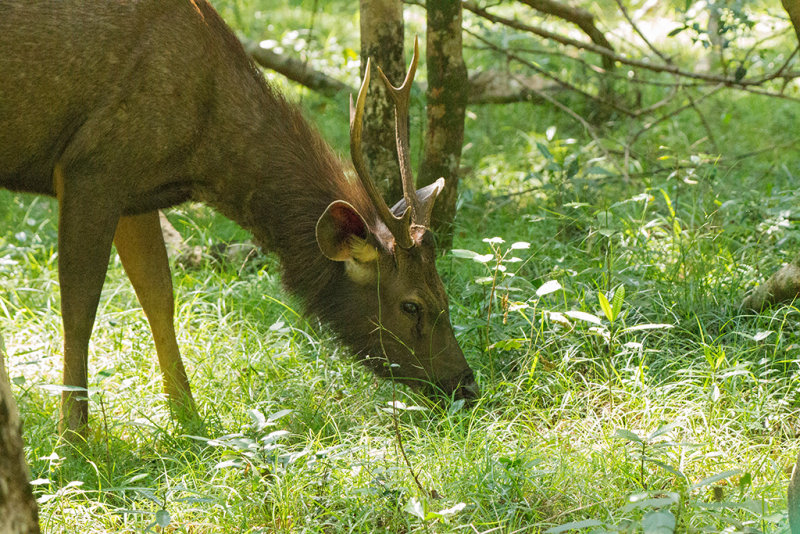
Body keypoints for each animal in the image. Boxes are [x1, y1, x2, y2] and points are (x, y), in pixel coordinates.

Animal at [0, 0, 476, 440]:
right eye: (412, 304)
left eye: (443, 289)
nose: (466, 383)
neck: (203, 150)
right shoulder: (90, 167)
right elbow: (79, 310)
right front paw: (73, 438)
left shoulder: (135, 190)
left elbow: (159, 297)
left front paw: (189, 419)